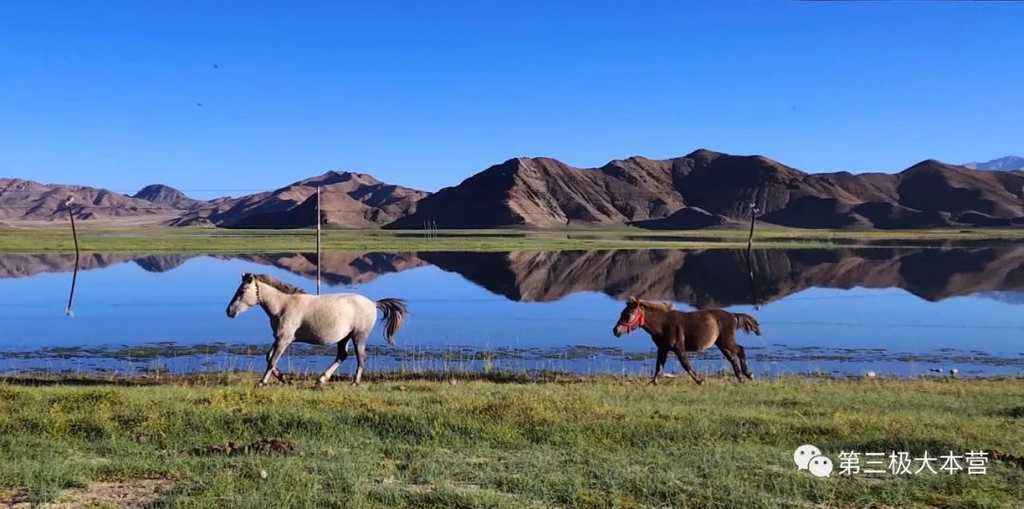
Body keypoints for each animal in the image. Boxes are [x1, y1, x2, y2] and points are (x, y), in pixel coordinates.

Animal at [226, 274, 405, 385]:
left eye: (242, 291)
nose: (229, 311)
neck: (283, 305)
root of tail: (373, 303)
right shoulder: (278, 338)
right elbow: (268, 356)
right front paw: (284, 378)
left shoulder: (284, 339)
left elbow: (272, 360)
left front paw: (263, 382)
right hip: (344, 338)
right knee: (342, 355)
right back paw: (322, 379)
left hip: (359, 336)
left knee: (361, 357)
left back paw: (354, 382)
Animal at [606, 294, 761, 383]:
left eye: (628, 315)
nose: (615, 331)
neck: (662, 325)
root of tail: (733, 316)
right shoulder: (663, 348)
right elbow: (658, 366)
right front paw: (652, 382)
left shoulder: (678, 348)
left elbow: (685, 364)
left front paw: (699, 380)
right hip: (722, 344)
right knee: (732, 357)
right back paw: (741, 377)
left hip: (726, 341)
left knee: (740, 350)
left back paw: (748, 375)